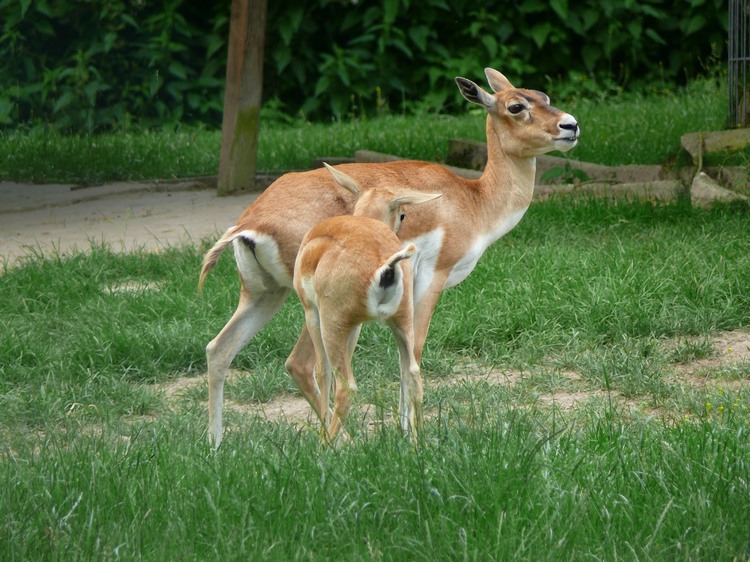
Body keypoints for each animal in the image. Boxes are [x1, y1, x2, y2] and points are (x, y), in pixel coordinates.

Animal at [294, 162, 444, 438]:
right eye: (403, 214)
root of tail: (386, 266)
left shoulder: (312, 312)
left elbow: (322, 372)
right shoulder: (356, 326)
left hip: (332, 325)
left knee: (346, 386)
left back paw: (325, 444)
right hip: (401, 320)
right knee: (413, 374)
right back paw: (416, 442)